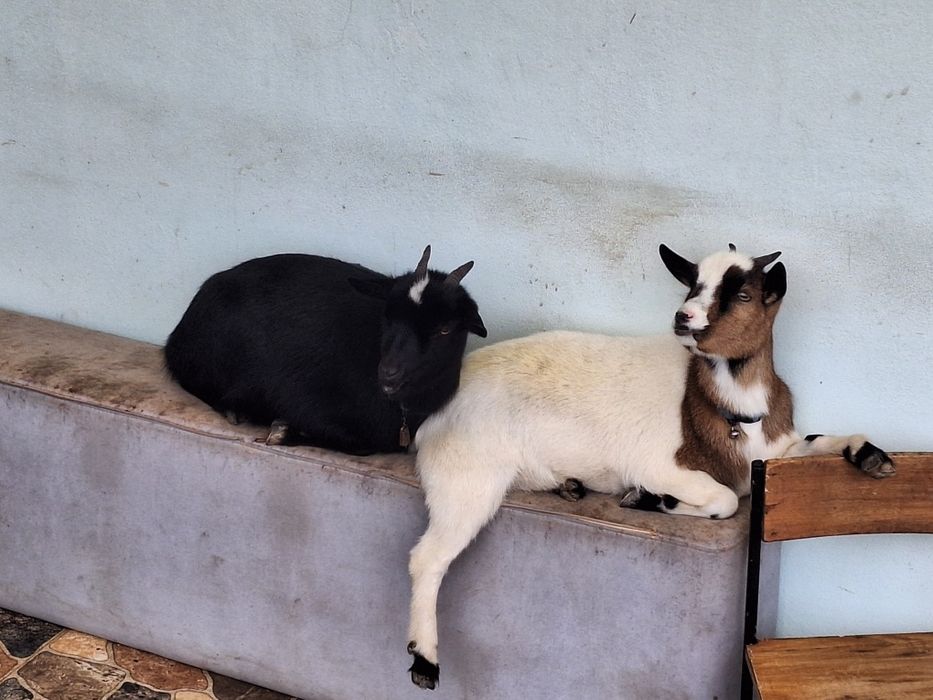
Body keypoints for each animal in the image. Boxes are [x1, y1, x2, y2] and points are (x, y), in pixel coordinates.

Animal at [164, 246, 486, 455]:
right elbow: (359, 446)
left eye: (445, 328)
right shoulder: (299, 396)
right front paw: (283, 431)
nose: (389, 373)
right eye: (388, 315)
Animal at [405, 244, 895, 689]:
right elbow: (725, 501)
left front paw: (872, 456)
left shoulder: (774, 454)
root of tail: (434, 409)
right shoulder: (660, 464)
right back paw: (424, 660)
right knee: (427, 558)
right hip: (467, 479)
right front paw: (652, 500)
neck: (730, 416)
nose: (684, 317)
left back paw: (570, 486)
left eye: (744, 294)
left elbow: (815, 443)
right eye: (693, 284)